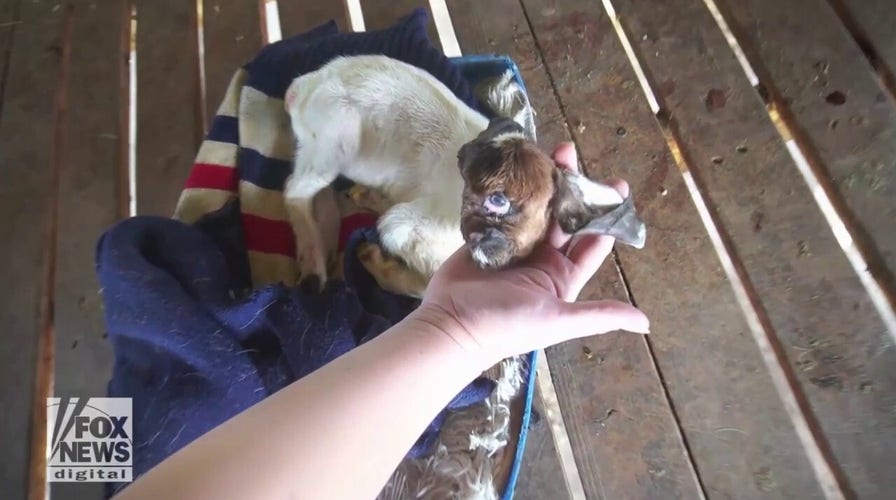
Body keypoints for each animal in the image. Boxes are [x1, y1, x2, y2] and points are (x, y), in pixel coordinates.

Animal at [283, 55, 644, 297]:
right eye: (496, 200)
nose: (494, 249)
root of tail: (303, 87)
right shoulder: (410, 223)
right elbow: (420, 276)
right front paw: (369, 255)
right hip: (334, 143)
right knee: (295, 191)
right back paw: (314, 271)